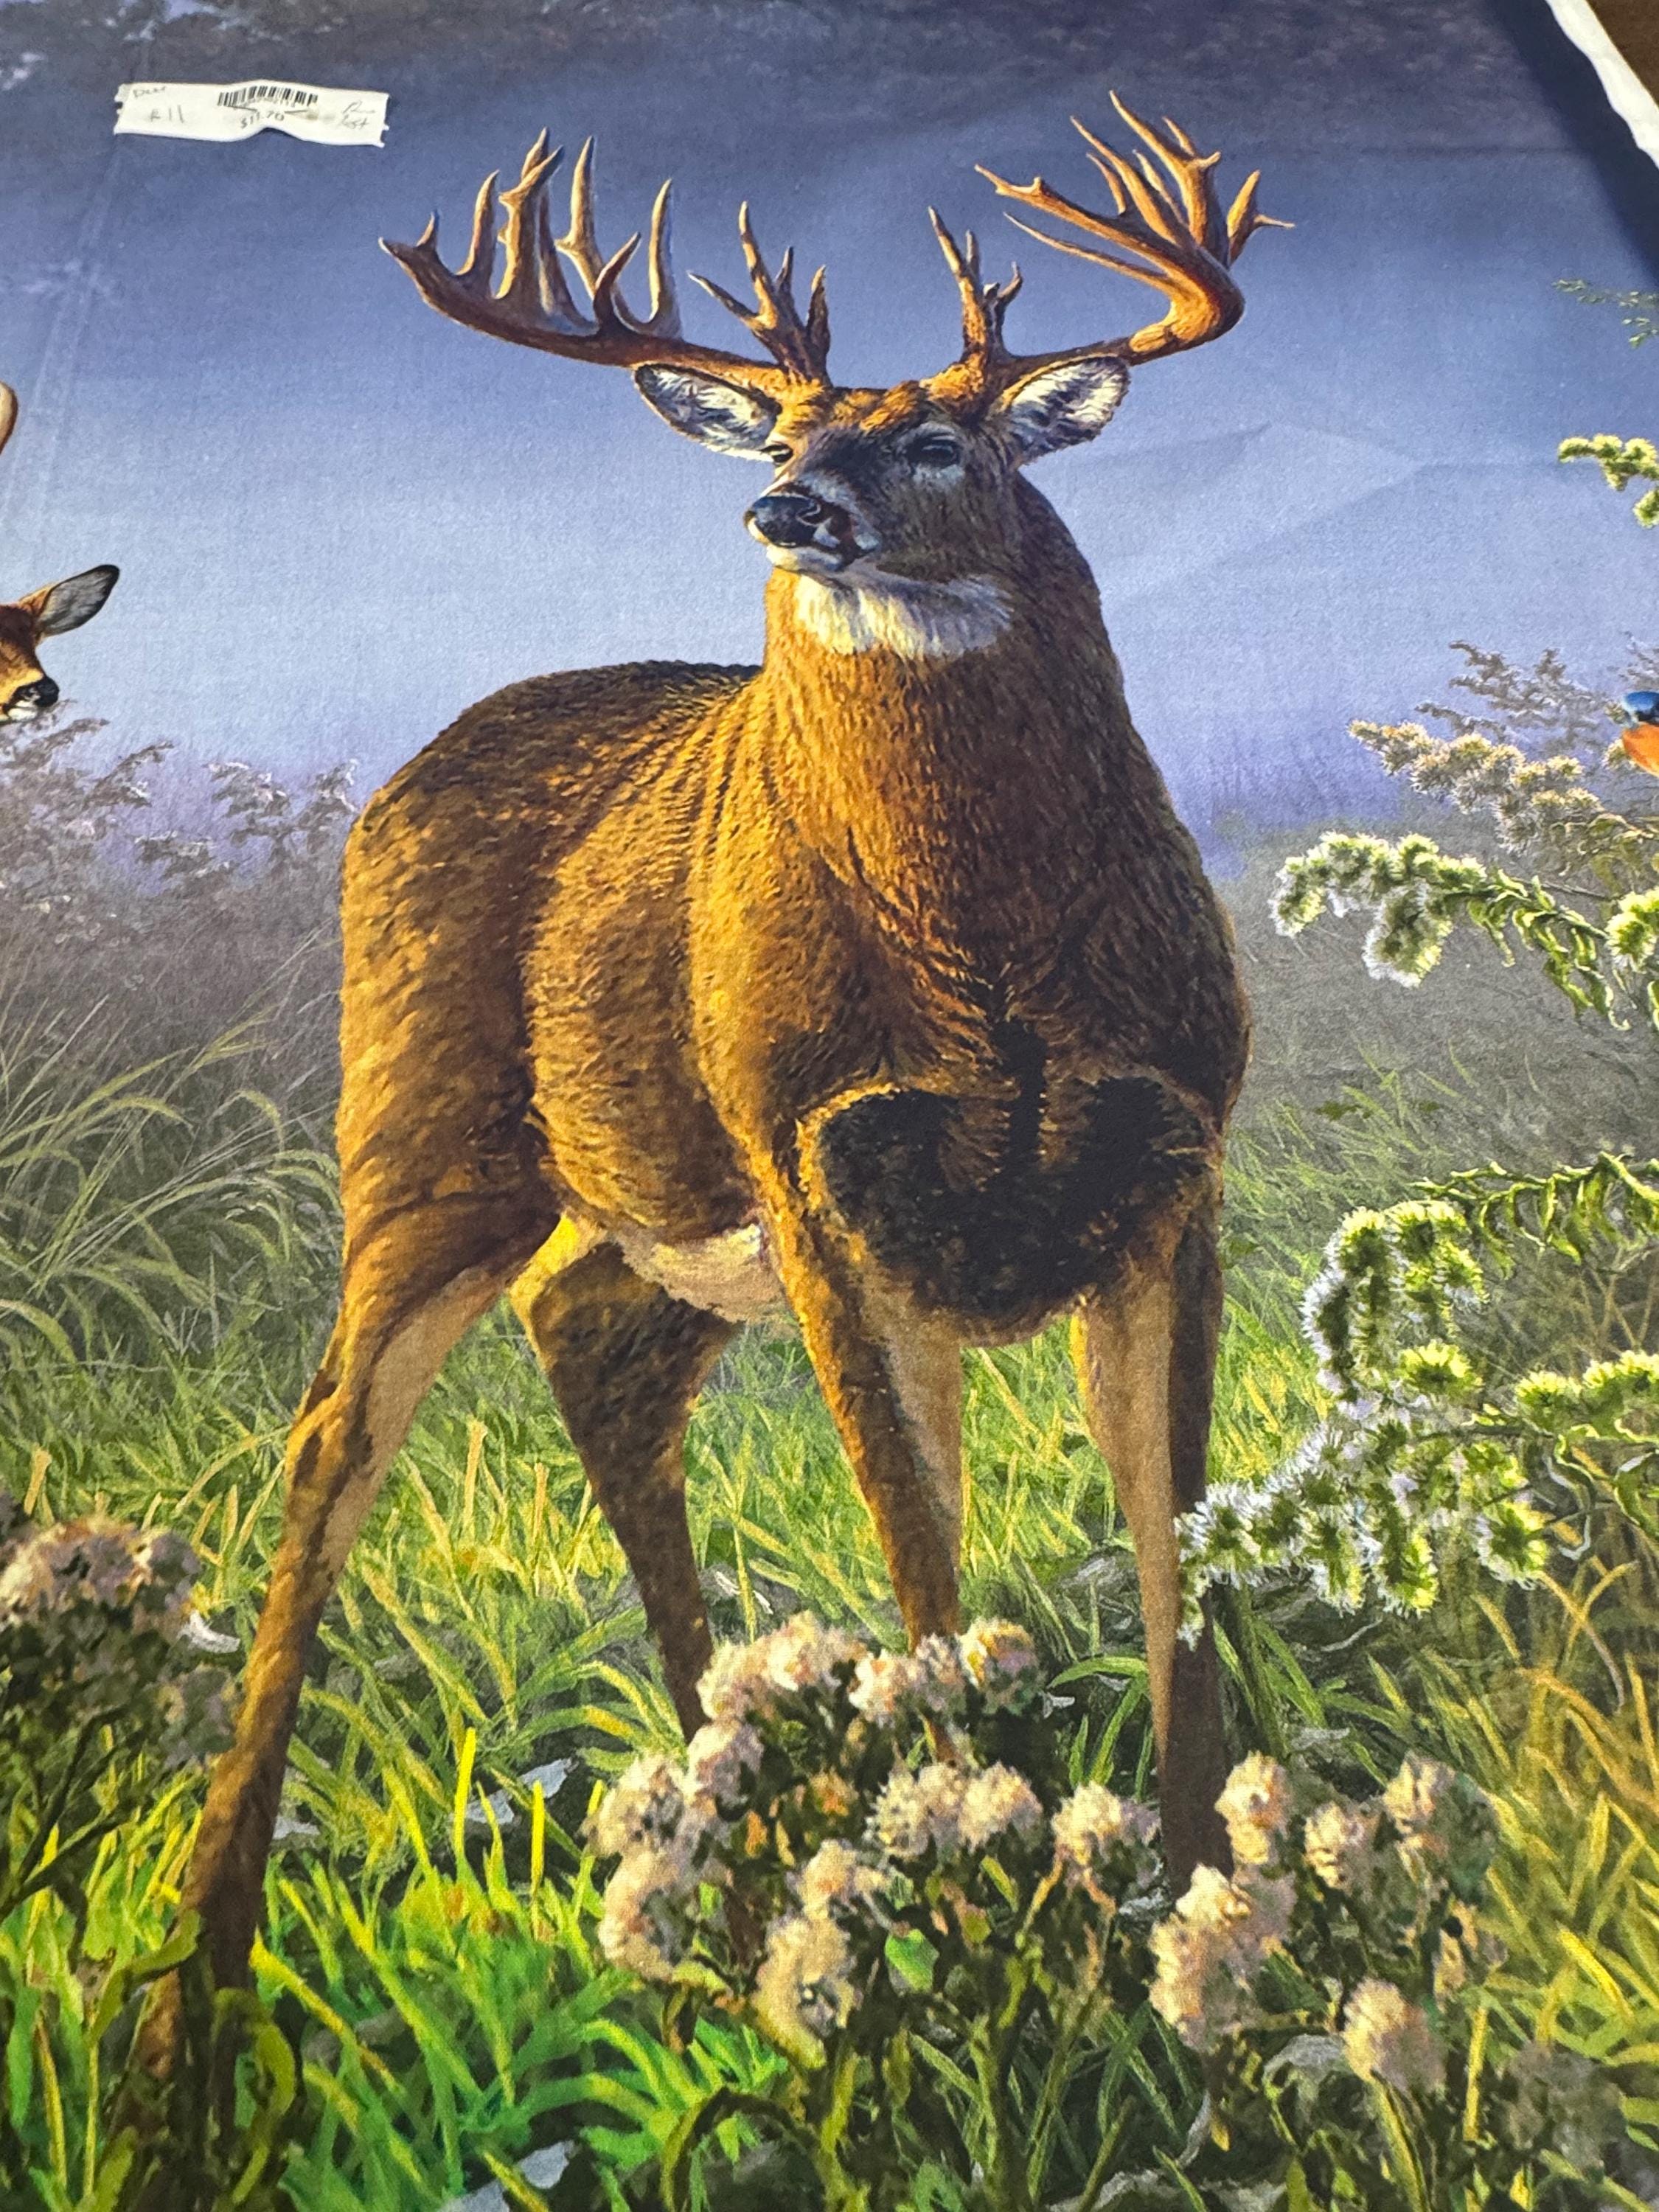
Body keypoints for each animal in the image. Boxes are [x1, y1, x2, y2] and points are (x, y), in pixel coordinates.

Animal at [149, 97, 1281, 2054]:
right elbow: (921, 1557)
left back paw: (729, 1796)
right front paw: (976, 1885)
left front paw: (1201, 1919)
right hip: (427, 1138)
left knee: (587, 1338)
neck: (989, 978)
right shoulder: (810, 1164)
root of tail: (400, 782)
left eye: (940, 437)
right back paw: (202, 1969)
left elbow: (1166, 1559)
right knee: (331, 1434)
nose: (787, 505)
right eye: (790, 429)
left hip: (650, 1229)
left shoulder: (1169, 1159)